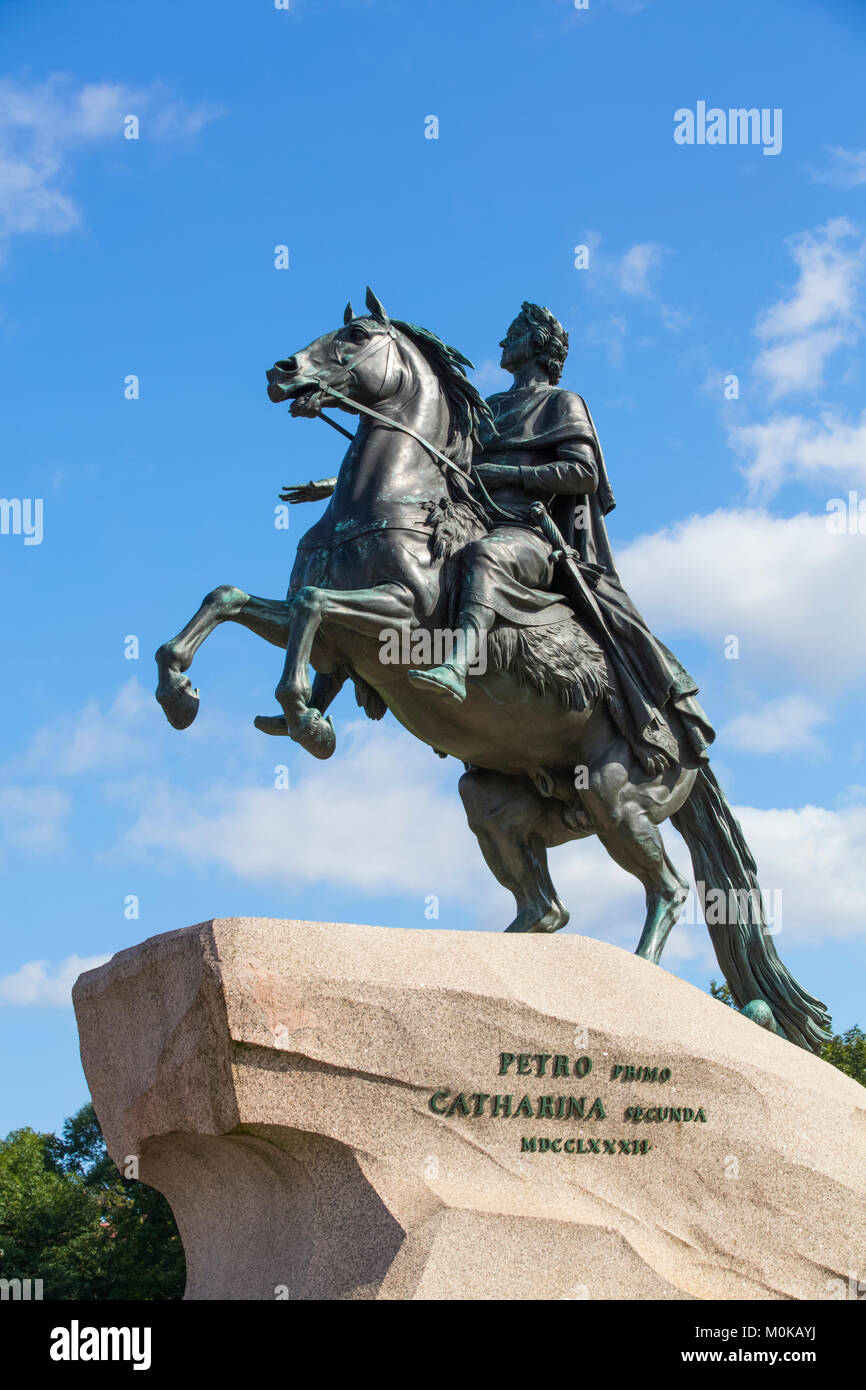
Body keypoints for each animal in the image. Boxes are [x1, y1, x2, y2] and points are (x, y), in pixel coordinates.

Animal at [157, 290, 834, 1050]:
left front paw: (307, 719)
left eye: (354, 337)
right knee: (547, 911)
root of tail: (694, 746)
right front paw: (181, 693)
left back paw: (636, 982)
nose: (282, 372)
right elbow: (230, 598)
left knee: (667, 890)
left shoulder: (396, 625)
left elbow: (309, 606)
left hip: (616, 798)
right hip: (494, 801)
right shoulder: (333, 640)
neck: (386, 504)